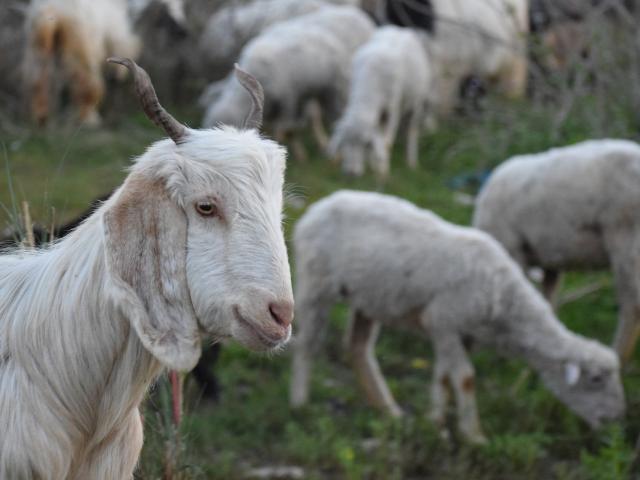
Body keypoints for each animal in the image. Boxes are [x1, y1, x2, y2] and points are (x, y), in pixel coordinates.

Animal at [292, 189, 624, 444]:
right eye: (595, 380)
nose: (614, 419)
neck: (504, 298)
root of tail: (319, 206)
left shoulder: (452, 333)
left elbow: (443, 375)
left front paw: (435, 423)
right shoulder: (444, 321)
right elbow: (464, 378)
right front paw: (473, 435)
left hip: (366, 298)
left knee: (358, 348)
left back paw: (388, 409)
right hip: (315, 282)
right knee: (307, 343)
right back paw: (300, 403)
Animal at [328, 24, 432, 178]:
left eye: (365, 144)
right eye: (345, 143)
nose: (351, 174)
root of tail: (400, 29)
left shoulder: (392, 108)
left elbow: (386, 143)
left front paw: (383, 172)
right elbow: (378, 140)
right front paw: (374, 164)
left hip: (416, 102)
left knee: (412, 130)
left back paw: (412, 162)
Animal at [472, 139, 640, 364]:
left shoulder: (514, 250)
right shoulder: (549, 262)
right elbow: (546, 302)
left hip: (625, 234)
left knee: (632, 304)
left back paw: (618, 355)